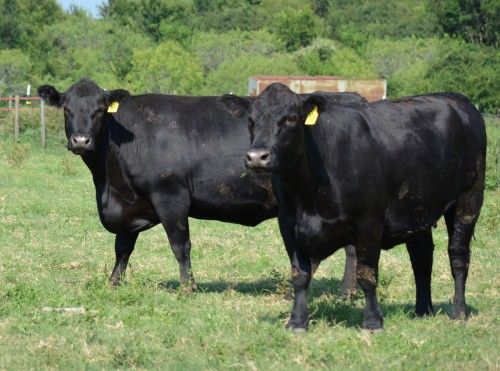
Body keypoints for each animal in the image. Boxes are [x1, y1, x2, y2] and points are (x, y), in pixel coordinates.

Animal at [38, 80, 364, 294]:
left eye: (99, 111)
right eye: (66, 109)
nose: (81, 140)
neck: (109, 183)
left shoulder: (170, 196)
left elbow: (180, 245)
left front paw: (188, 288)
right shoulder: (130, 204)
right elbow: (123, 247)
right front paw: (113, 283)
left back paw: (341, 292)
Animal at [221, 84, 486, 334]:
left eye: (291, 118)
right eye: (251, 120)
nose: (257, 157)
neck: (309, 195)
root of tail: (457, 100)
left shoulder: (369, 223)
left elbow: (366, 274)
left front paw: (372, 322)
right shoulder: (288, 224)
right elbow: (300, 275)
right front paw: (297, 322)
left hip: (469, 199)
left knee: (458, 256)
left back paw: (459, 312)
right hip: (418, 208)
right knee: (421, 258)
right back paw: (422, 310)